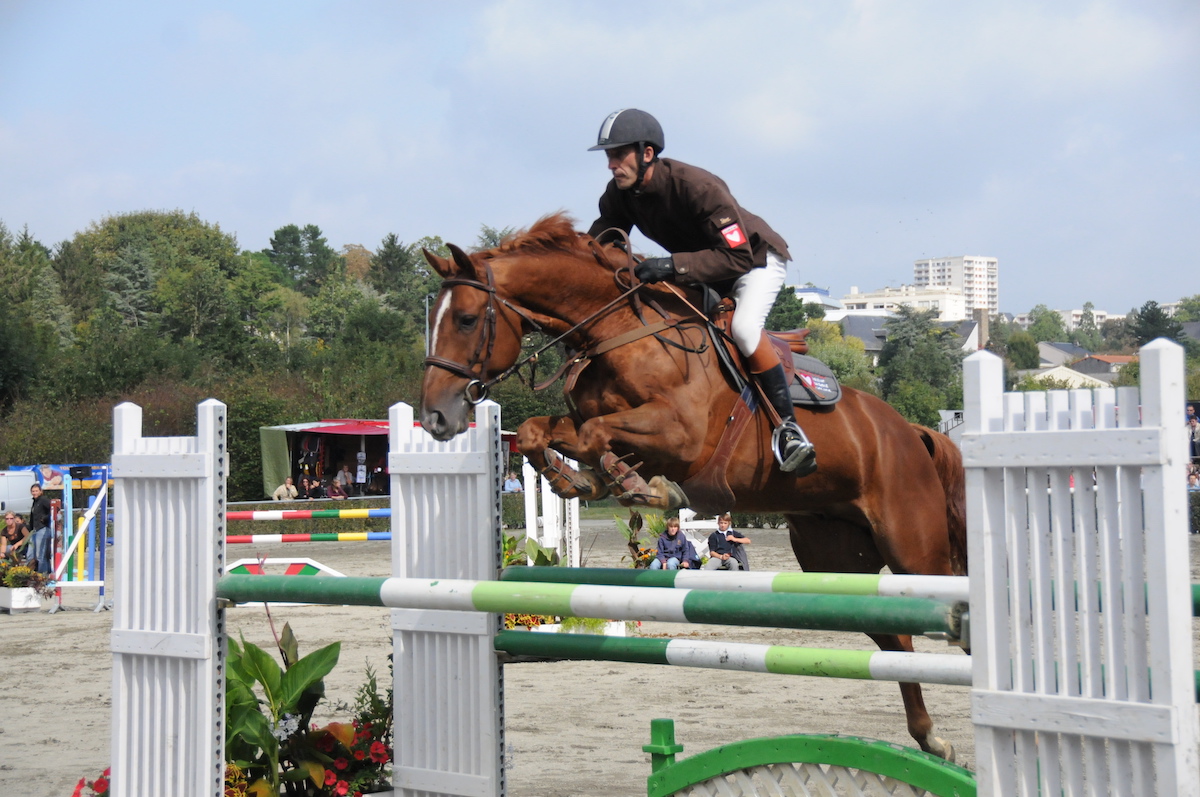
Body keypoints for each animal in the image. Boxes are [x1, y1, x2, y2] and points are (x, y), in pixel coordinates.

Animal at [417, 213, 969, 758]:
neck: (620, 331)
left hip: (913, 548)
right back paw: (930, 737)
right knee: (896, 640)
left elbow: (599, 436)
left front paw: (645, 487)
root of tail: (911, 432)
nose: (436, 417)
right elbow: (543, 431)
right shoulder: (603, 425)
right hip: (835, 561)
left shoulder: (680, 435)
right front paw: (578, 478)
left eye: (466, 319)